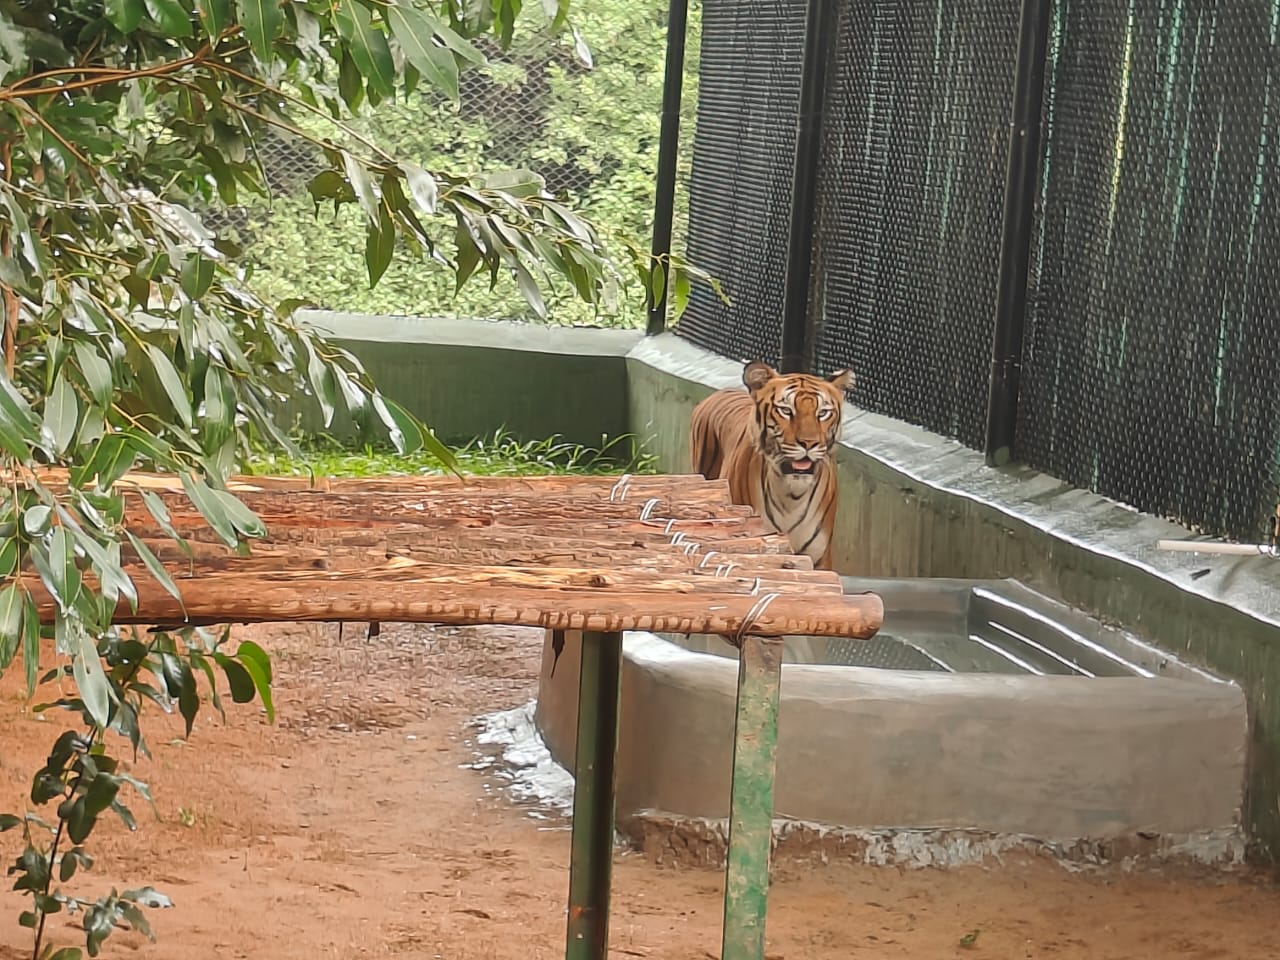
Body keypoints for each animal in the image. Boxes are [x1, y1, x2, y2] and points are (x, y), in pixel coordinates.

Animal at [686, 360, 855, 570]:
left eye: (822, 413)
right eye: (786, 410)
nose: (809, 443)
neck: (792, 496)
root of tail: (721, 391)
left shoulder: (818, 558)